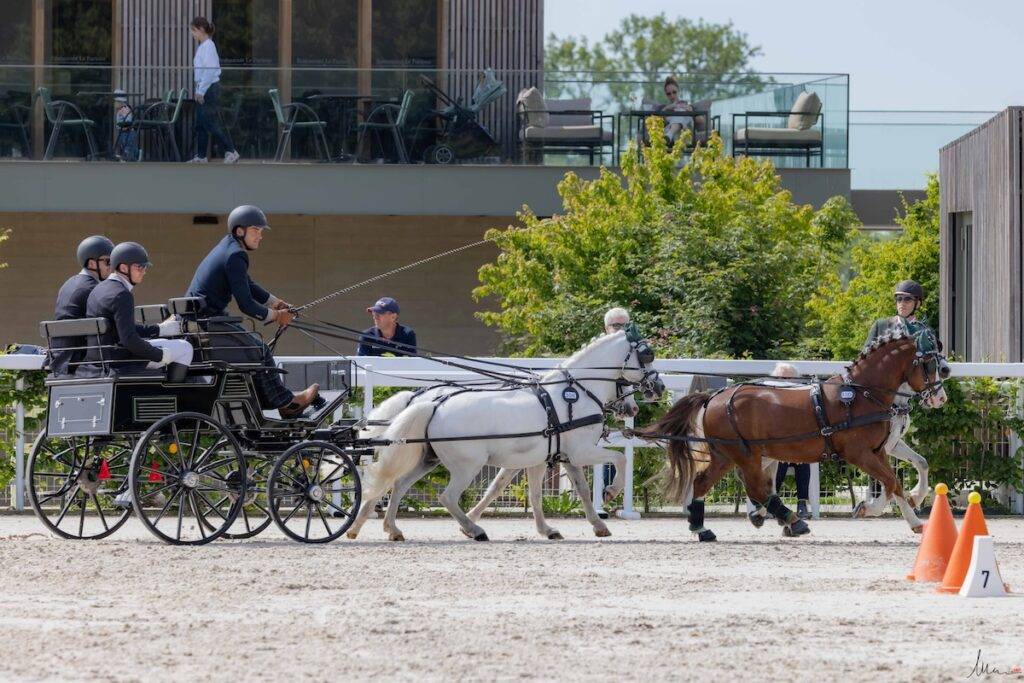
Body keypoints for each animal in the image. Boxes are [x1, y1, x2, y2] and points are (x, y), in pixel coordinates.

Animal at [346, 328, 661, 541]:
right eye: (647, 355)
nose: (656, 387)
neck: (574, 393)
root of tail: (432, 404)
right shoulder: (581, 451)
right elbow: (620, 459)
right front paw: (611, 492)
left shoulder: (548, 458)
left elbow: (545, 494)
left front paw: (561, 528)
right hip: (467, 466)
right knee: (447, 497)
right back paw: (474, 530)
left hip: (427, 459)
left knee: (398, 485)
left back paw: (389, 528)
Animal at [641, 329, 947, 541]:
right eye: (933, 365)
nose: (940, 397)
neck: (861, 394)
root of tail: (714, 397)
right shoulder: (859, 453)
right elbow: (891, 482)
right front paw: (885, 513)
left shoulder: (879, 450)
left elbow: (896, 481)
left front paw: (903, 514)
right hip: (744, 454)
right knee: (755, 488)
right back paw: (791, 520)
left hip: (726, 455)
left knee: (706, 483)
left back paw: (702, 528)